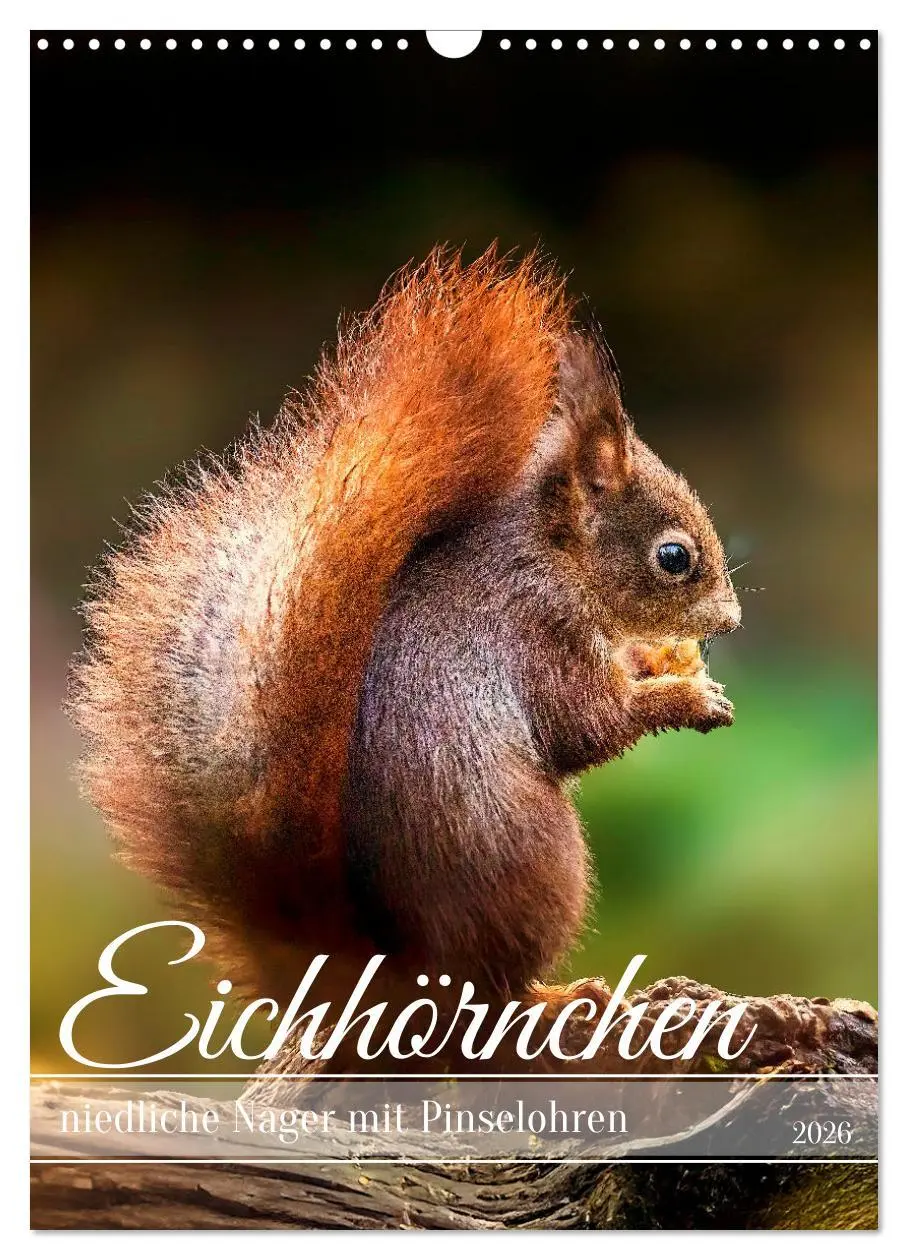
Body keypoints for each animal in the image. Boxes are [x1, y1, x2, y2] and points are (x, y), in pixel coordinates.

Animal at [70, 246, 741, 1042]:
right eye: (674, 557)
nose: (731, 619)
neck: (551, 557)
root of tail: (390, 974)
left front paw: (656, 661)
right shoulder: (534, 633)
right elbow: (586, 725)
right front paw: (685, 696)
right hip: (541, 865)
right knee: (488, 993)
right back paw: (554, 998)